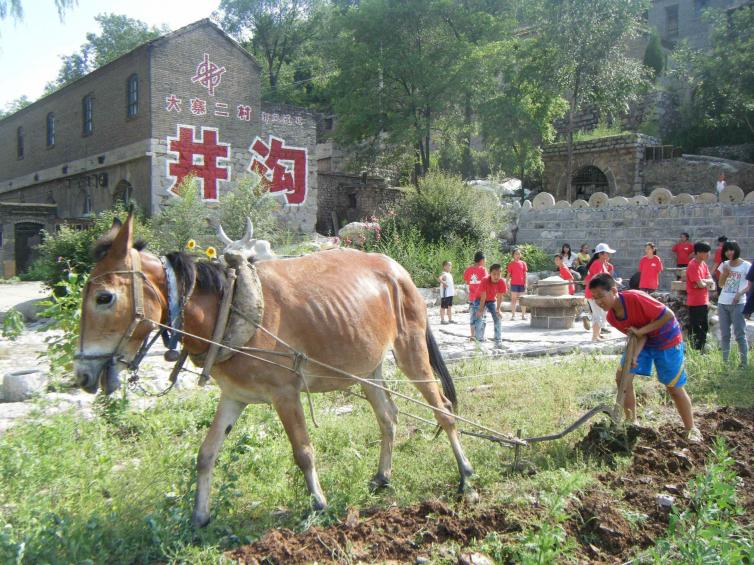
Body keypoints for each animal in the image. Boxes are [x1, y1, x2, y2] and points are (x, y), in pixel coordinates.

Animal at [78, 214, 476, 528]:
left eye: (104, 298)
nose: (83, 374)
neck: (231, 309)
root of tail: (398, 270)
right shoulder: (234, 396)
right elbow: (205, 454)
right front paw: (199, 516)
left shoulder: (286, 394)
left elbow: (303, 451)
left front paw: (319, 503)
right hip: (368, 367)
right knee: (388, 417)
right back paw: (382, 477)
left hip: (411, 350)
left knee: (443, 410)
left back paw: (466, 479)